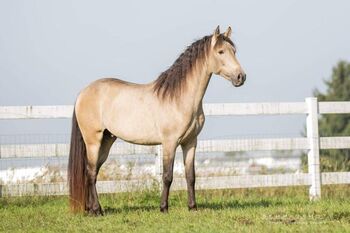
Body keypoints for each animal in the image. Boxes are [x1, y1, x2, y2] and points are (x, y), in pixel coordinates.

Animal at [67, 25, 245, 215]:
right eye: (220, 52)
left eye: (234, 51)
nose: (241, 77)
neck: (180, 99)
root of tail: (83, 92)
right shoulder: (169, 143)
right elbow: (167, 176)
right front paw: (164, 208)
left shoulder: (190, 142)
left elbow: (191, 176)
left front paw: (192, 207)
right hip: (93, 140)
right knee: (91, 172)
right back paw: (97, 210)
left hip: (107, 140)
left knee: (93, 172)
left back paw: (92, 209)